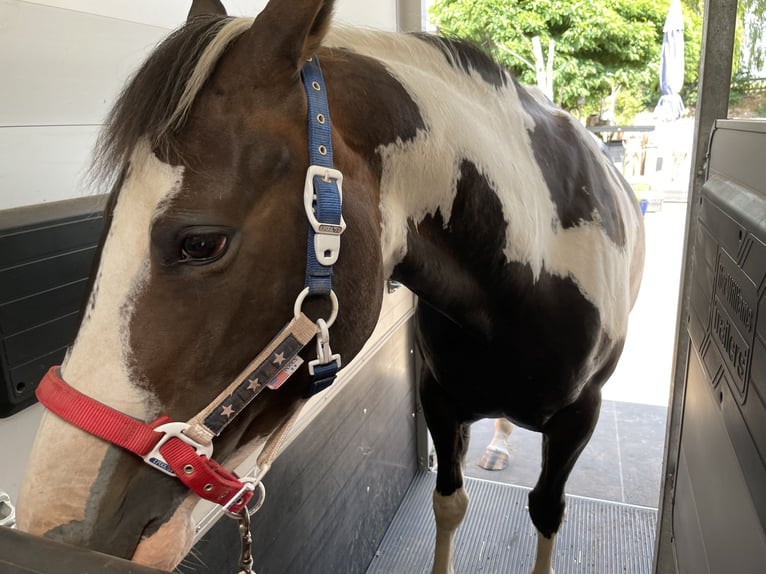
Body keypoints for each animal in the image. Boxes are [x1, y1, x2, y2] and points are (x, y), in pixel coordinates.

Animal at [15, 1, 644, 574]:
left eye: (201, 243)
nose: (49, 529)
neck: (522, 287)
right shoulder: (439, 399)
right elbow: (449, 503)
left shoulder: (578, 420)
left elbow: (545, 511)